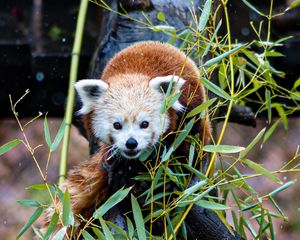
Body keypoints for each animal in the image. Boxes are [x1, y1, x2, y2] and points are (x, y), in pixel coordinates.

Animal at [43, 41, 211, 236]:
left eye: (144, 124)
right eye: (117, 125)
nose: (131, 143)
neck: (134, 72)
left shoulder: (188, 114)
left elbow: (185, 150)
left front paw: (171, 181)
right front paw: (123, 175)